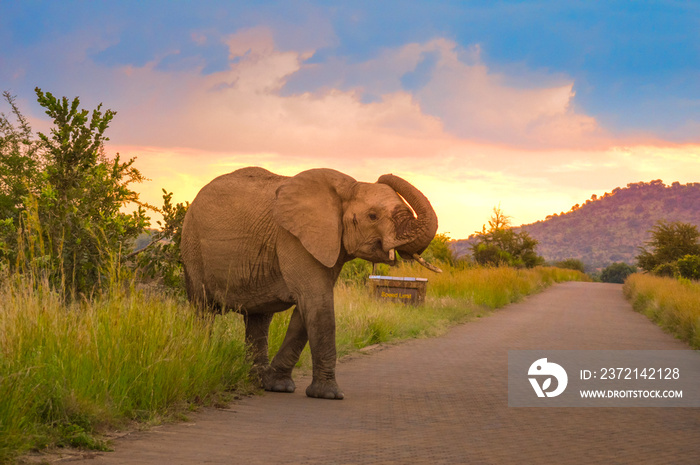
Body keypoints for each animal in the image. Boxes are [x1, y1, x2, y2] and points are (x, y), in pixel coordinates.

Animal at [179, 167, 438, 398]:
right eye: (372, 216)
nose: (384, 175)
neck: (349, 187)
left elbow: (308, 308)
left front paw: (277, 385)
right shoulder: (293, 238)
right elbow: (317, 301)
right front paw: (329, 394)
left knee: (258, 318)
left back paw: (256, 381)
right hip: (192, 246)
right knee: (203, 309)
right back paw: (202, 361)